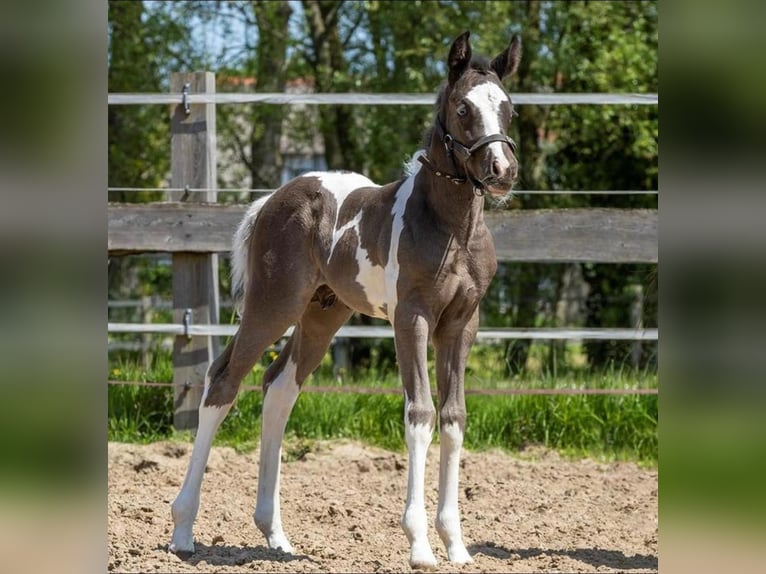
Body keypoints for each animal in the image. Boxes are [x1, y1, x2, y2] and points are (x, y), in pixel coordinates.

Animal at [169, 30, 521, 569]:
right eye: (463, 107)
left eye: (508, 108)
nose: (502, 170)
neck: (451, 227)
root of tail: (269, 200)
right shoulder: (411, 318)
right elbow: (419, 413)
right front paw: (420, 546)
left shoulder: (462, 323)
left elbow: (454, 417)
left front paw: (457, 546)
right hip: (272, 307)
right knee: (223, 381)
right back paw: (183, 530)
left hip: (321, 316)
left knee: (279, 387)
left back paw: (275, 535)